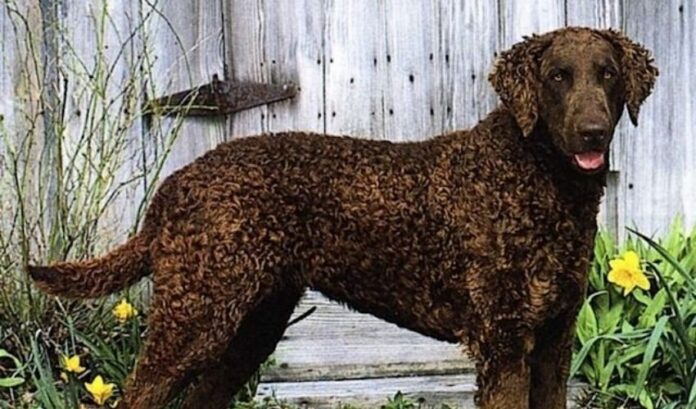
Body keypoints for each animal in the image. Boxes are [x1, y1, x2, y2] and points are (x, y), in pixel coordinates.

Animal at [28, 27, 656, 406]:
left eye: (607, 73)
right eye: (557, 76)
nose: (593, 132)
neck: (538, 182)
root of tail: (176, 184)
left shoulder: (554, 338)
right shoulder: (503, 341)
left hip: (252, 322)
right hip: (195, 315)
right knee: (140, 392)